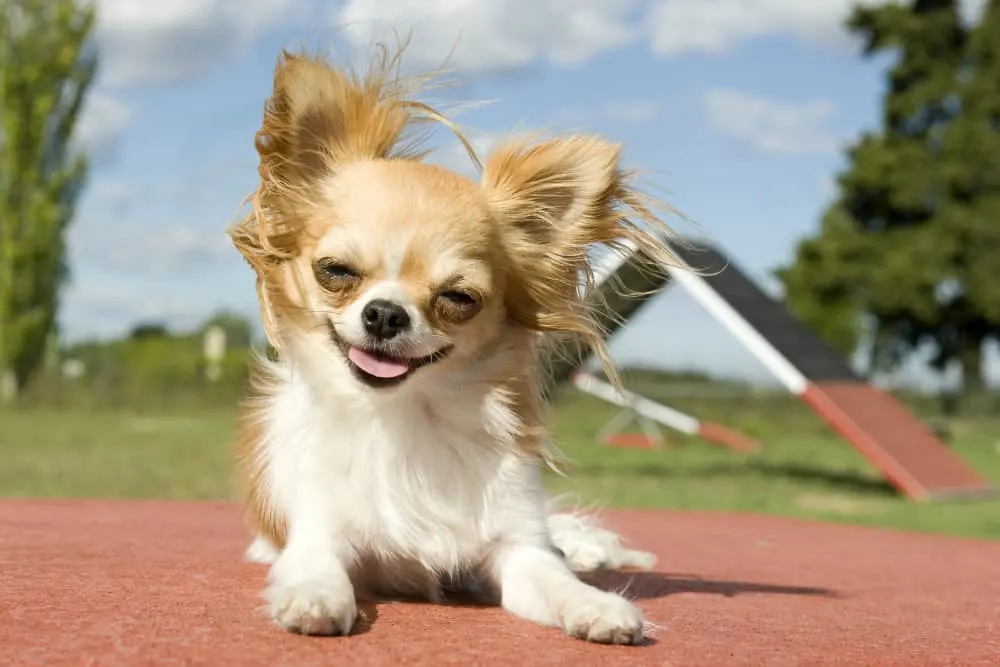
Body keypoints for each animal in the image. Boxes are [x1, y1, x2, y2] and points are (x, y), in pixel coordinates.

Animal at [227, 43, 680, 648]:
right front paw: (315, 596)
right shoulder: (319, 531)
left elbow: (554, 577)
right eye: (336, 271)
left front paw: (596, 604)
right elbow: (316, 565)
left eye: (459, 298)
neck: (406, 418)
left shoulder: (518, 551)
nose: (385, 313)